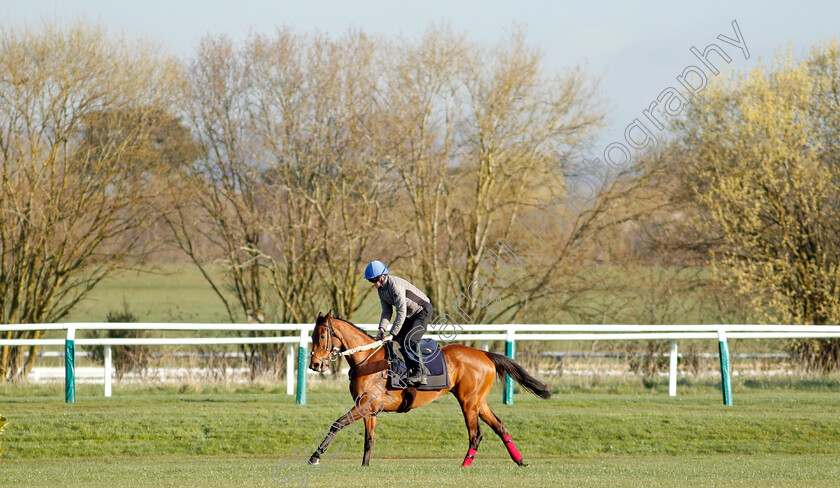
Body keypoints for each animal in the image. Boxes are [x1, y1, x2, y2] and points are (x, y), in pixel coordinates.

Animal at [306, 310, 552, 468]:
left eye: (321, 335)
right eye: (312, 335)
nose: (315, 365)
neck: (368, 358)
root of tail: (485, 354)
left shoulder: (364, 405)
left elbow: (337, 424)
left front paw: (315, 456)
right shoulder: (369, 408)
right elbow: (369, 439)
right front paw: (365, 466)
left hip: (468, 402)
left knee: (476, 434)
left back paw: (465, 465)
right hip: (479, 402)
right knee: (500, 427)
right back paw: (520, 461)